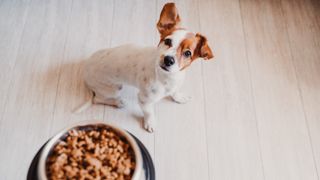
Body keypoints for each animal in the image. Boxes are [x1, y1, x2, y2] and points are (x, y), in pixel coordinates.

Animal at [80, 2, 215, 132]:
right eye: (168, 41)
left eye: (188, 53)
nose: (168, 59)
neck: (167, 77)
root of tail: (86, 67)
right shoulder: (144, 100)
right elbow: (149, 113)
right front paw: (150, 123)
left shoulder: (175, 85)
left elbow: (175, 91)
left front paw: (178, 97)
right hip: (113, 89)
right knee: (97, 99)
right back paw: (117, 102)